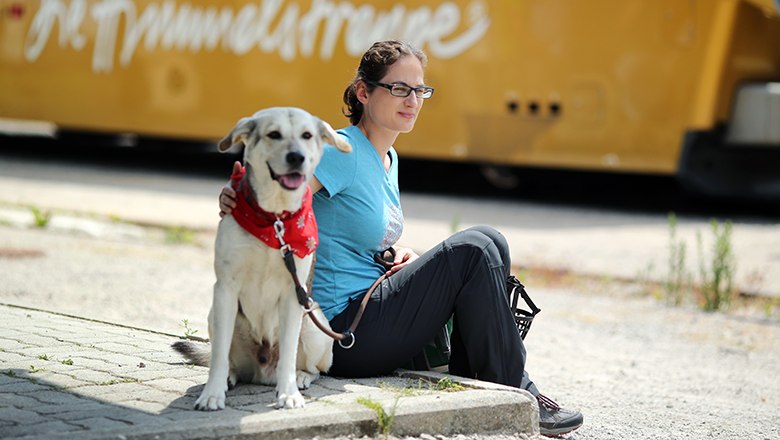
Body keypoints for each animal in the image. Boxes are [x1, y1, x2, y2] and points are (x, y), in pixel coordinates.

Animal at [175, 106, 352, 410]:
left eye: (307, 135)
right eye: (274, 134)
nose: (297, 157)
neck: (274, 220)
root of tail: (261, 372)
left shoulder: (294, 294)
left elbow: (290, 356)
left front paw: (289, 394)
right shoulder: (225, 288)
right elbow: (218, 356)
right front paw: (211, 394)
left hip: (315, 325)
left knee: (313, 368)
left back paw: (300, 377)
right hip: (216, 314)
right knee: (228, 360)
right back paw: (231, 377)